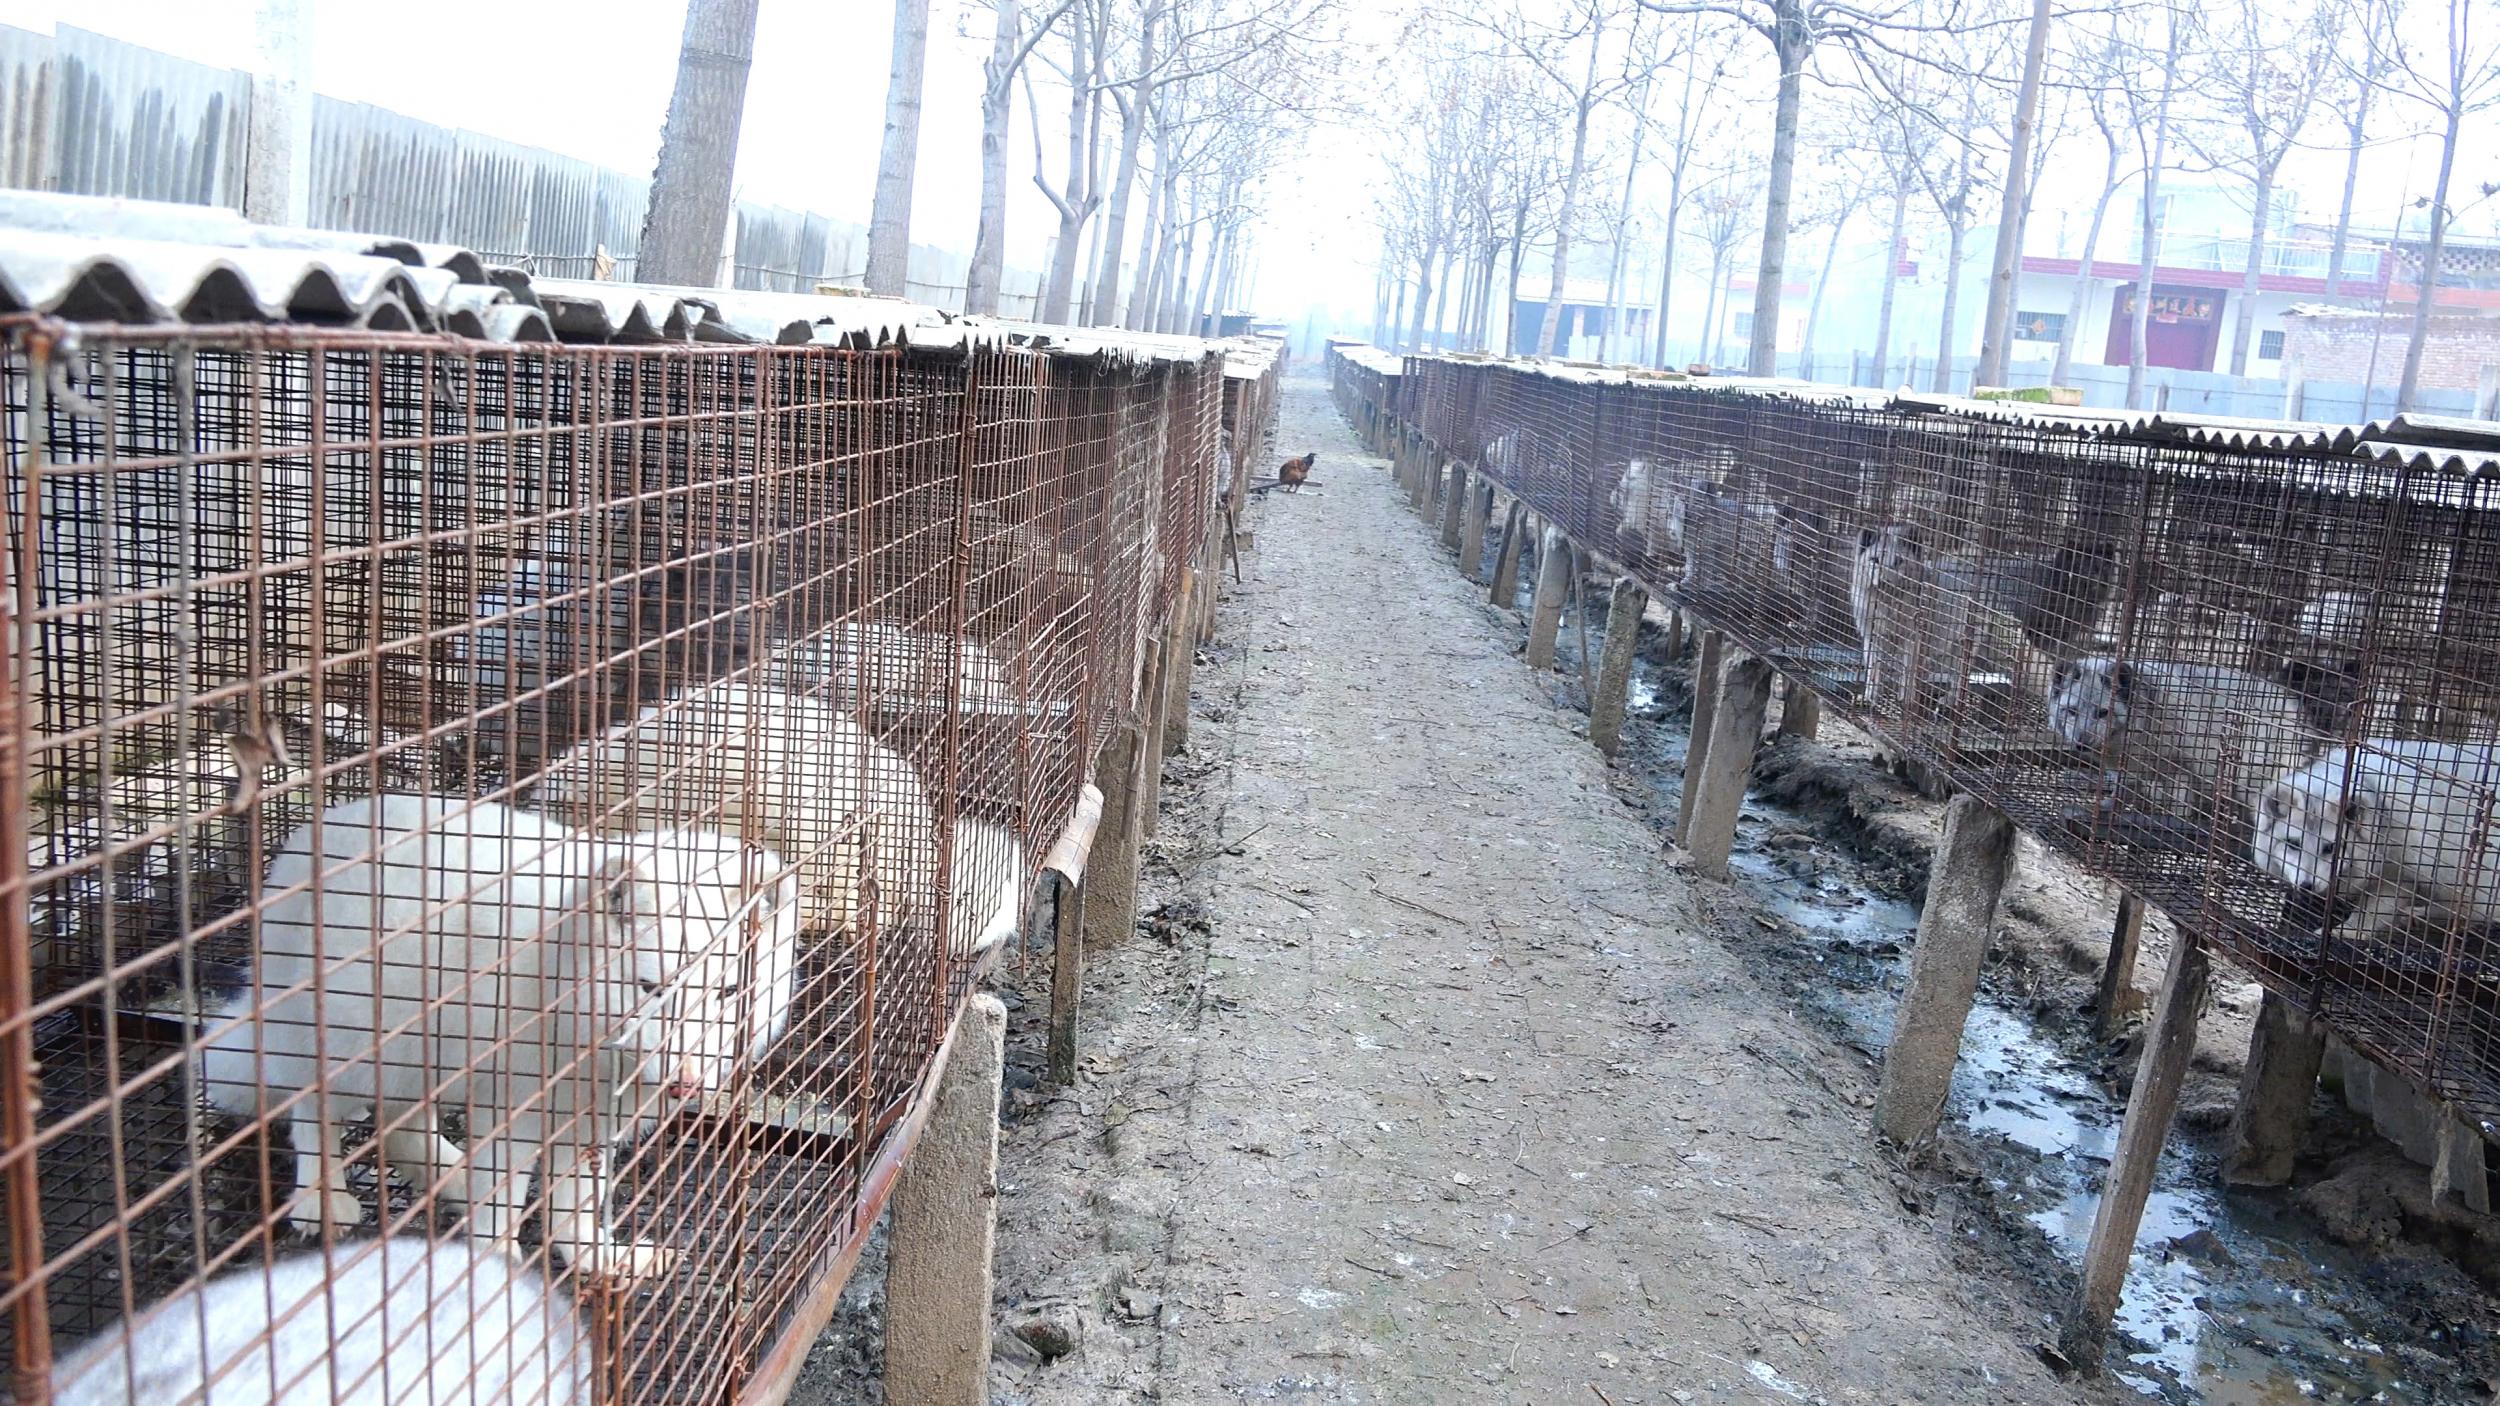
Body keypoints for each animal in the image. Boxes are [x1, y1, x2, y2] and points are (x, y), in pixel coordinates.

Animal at [201, 795, 800, 1275]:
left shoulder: (587, 1123)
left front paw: (601, 1260)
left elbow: (576, 1210)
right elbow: (502, 1208)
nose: (685, 1083)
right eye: (650, 988)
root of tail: (311, 832)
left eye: (728, 991)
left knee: (399, 1126)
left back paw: (451, 1178)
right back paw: (322, 1199)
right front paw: (500, 1279)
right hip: (348, 1041)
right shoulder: (510, 1112)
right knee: (310, 1110)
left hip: (414, 1051)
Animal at [2250, 735, 2500, 940]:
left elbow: (2372, 910)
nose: (2307, 886)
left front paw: (2346, 931)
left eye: (2330, 848)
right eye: (2293, 844)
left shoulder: (2399, 874)